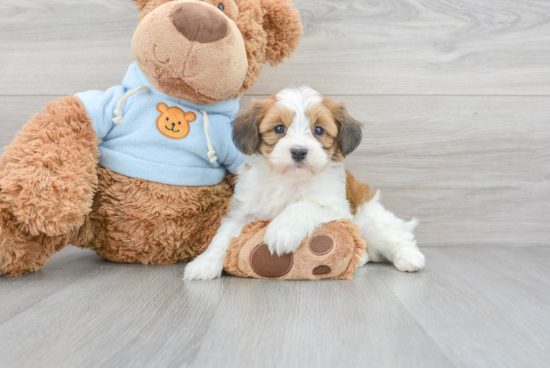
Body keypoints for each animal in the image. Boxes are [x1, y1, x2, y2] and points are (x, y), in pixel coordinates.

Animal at [185, 87, 426, 280]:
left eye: (318, 130)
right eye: (279, 129)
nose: (299, 151)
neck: (290, 178)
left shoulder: (336, 207)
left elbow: (303, 205)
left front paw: (281, 230)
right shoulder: (243, 211)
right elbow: (222, 237)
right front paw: (204, 263)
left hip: (369, 219)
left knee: (396, 236)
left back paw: (410, 257)